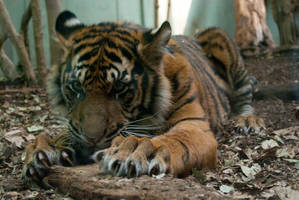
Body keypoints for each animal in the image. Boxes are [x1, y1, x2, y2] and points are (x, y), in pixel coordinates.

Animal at [22, 9, 264, 181]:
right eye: (76, 88)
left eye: (119, 88)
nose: (92, 139)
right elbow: (66, 131)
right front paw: (45, 148)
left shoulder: (194, 125)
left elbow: (173, 139)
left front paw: (134, 151)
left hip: (221, 41)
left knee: (245, 97)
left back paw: (247, 120)